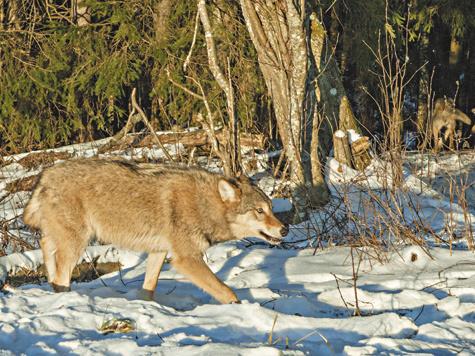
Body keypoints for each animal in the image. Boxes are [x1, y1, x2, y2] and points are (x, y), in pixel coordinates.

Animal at [22, 159, 288, 304]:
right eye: (259, 211)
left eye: (272, 209)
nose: (285, 229)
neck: (204, 205)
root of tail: (45, 174)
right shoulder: (185, 259)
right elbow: (226, 290)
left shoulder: (159, 252)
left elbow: (148, 287)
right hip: (78, 241)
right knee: (61, 275)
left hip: (69, 238)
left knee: (46, 246)